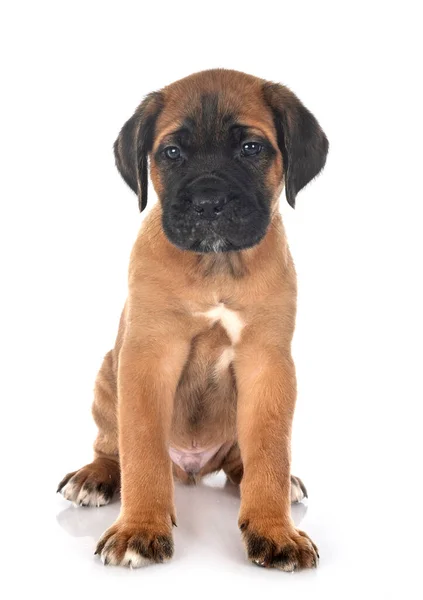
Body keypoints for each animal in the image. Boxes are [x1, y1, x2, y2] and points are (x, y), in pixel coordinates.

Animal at [57, 68, 328, 568]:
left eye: (251, 148)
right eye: (171, 153)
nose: (208, 202)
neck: (215, 267)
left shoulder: (268, 365)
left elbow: (270, 452)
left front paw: (275, 530)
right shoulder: (148, 357)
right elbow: (142, 452)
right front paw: (140, 528)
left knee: (245, 462)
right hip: (108, 376)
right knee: (112, 447)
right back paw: (95, 476)